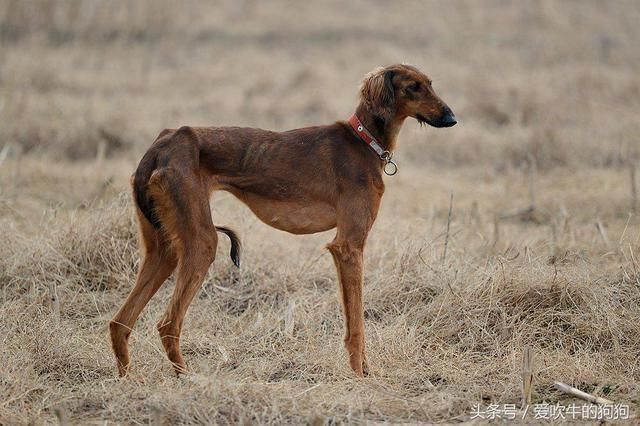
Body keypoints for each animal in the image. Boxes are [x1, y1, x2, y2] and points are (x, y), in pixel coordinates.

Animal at [111, 63, 460, 376]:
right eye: (413, 87)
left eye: (430, 83)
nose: (451, 118)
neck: (363, 142)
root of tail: (163, 144)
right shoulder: (349, 247)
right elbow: (357, 324)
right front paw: (361, 375)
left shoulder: (344, 250)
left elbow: (351, 320)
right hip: (201, 244)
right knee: (168, 322)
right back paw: (187, 378)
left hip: (164, 250)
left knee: (120, 322)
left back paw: (130, 378)